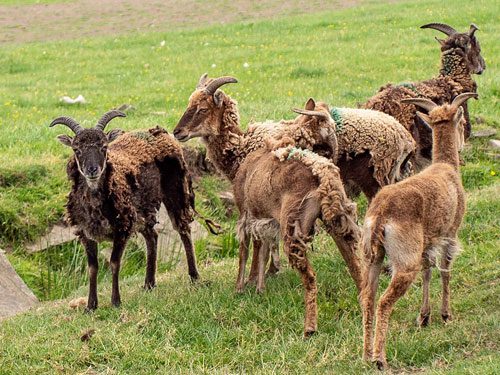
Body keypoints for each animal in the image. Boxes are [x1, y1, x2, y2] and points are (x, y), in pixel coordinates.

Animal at [50, 111, 198, 312]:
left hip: (175, 189)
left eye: (104, 147)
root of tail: (159, 132)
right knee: (152, 237)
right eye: (76, 149)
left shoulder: (122, 227)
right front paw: (90, 306)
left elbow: (114, 263)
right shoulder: (85, 233)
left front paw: (115, 301)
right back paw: (149, 283)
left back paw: (194, 276)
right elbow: (92, 268)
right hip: (142, 210)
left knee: (183, 230)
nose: (92, 170)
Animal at [360, 93, 476, 370]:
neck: (446, 168)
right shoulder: (449, 234)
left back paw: (366, 354)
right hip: (404, 260)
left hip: (372, 256)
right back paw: (380, 359)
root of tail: (380, 216)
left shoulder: (426, 244)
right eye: (460, 122)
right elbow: (445, 271)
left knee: (367, 298)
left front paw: (424, 317)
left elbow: (427, 271)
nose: (463, 144)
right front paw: (445, 315)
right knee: (384, 301)